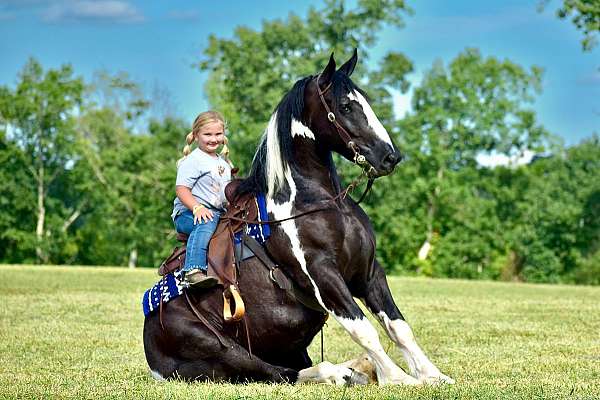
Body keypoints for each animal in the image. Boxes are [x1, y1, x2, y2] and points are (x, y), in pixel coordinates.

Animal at [144, 51, 454, 386]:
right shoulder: (323, 274)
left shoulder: (369, 272)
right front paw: (399, 379)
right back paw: (343, 373)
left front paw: (433, 375)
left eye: (366, 101)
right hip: (224, 351)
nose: (389, 156)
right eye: (345, 106)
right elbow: (364, 330)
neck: (316, 201)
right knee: (281, 373)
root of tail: (153, 355)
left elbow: (398, 328)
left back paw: (356, 370)